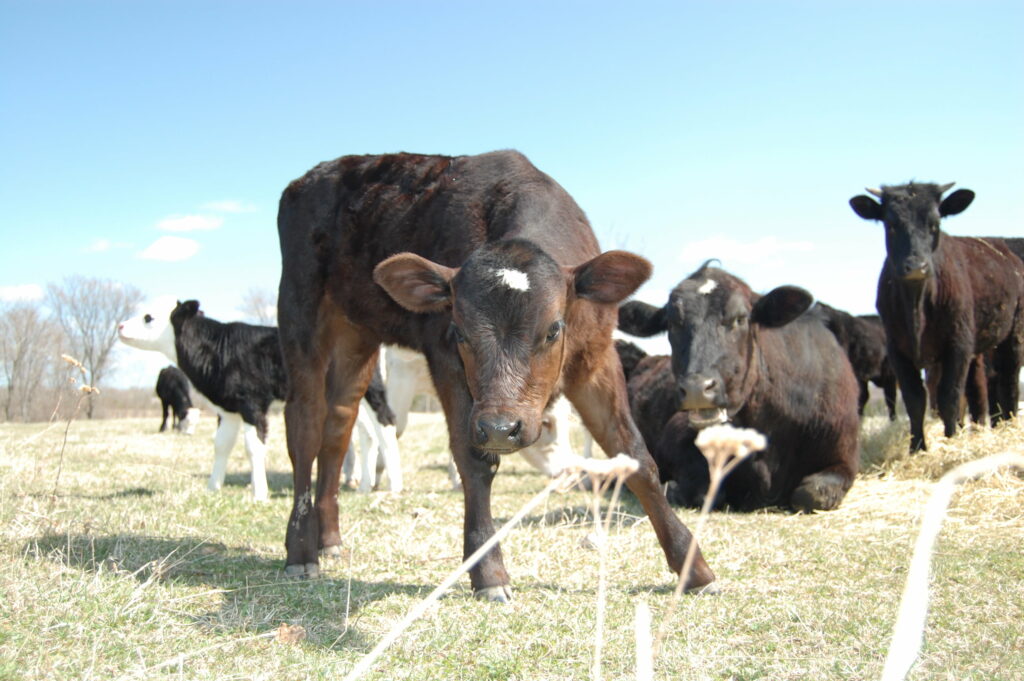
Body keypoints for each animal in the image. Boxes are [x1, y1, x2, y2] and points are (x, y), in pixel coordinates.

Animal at [276, 150, 714, 600]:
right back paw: (302, 549)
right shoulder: (446, 361)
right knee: (305, 426)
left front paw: (691, 565)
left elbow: (634, 454)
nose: (502, 428)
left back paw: (329, 539)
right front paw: (488, 571)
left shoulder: (596, 357)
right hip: (301, 312)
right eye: (460, 332)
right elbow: (473, 460)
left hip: (357, 337)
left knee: (338, 428)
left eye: (553, 329)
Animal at [618, 262, 861, 512]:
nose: (696, 389)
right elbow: (705, 491)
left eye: (740, 319)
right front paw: (671, 488)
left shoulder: (844, 457)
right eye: (672, 323)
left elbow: (810, 494)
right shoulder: (677, 433)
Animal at [850, 183, 1024, 451]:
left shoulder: (958, 345)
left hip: (1012, 335)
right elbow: (915, 399)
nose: (915, 266)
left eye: (935, 223)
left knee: (1008, 380)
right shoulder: (897, 351)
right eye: (891, 224)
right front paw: (917, 447)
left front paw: (951, 439)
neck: (917, 306)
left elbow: (949, 396)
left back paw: (1009, 422)